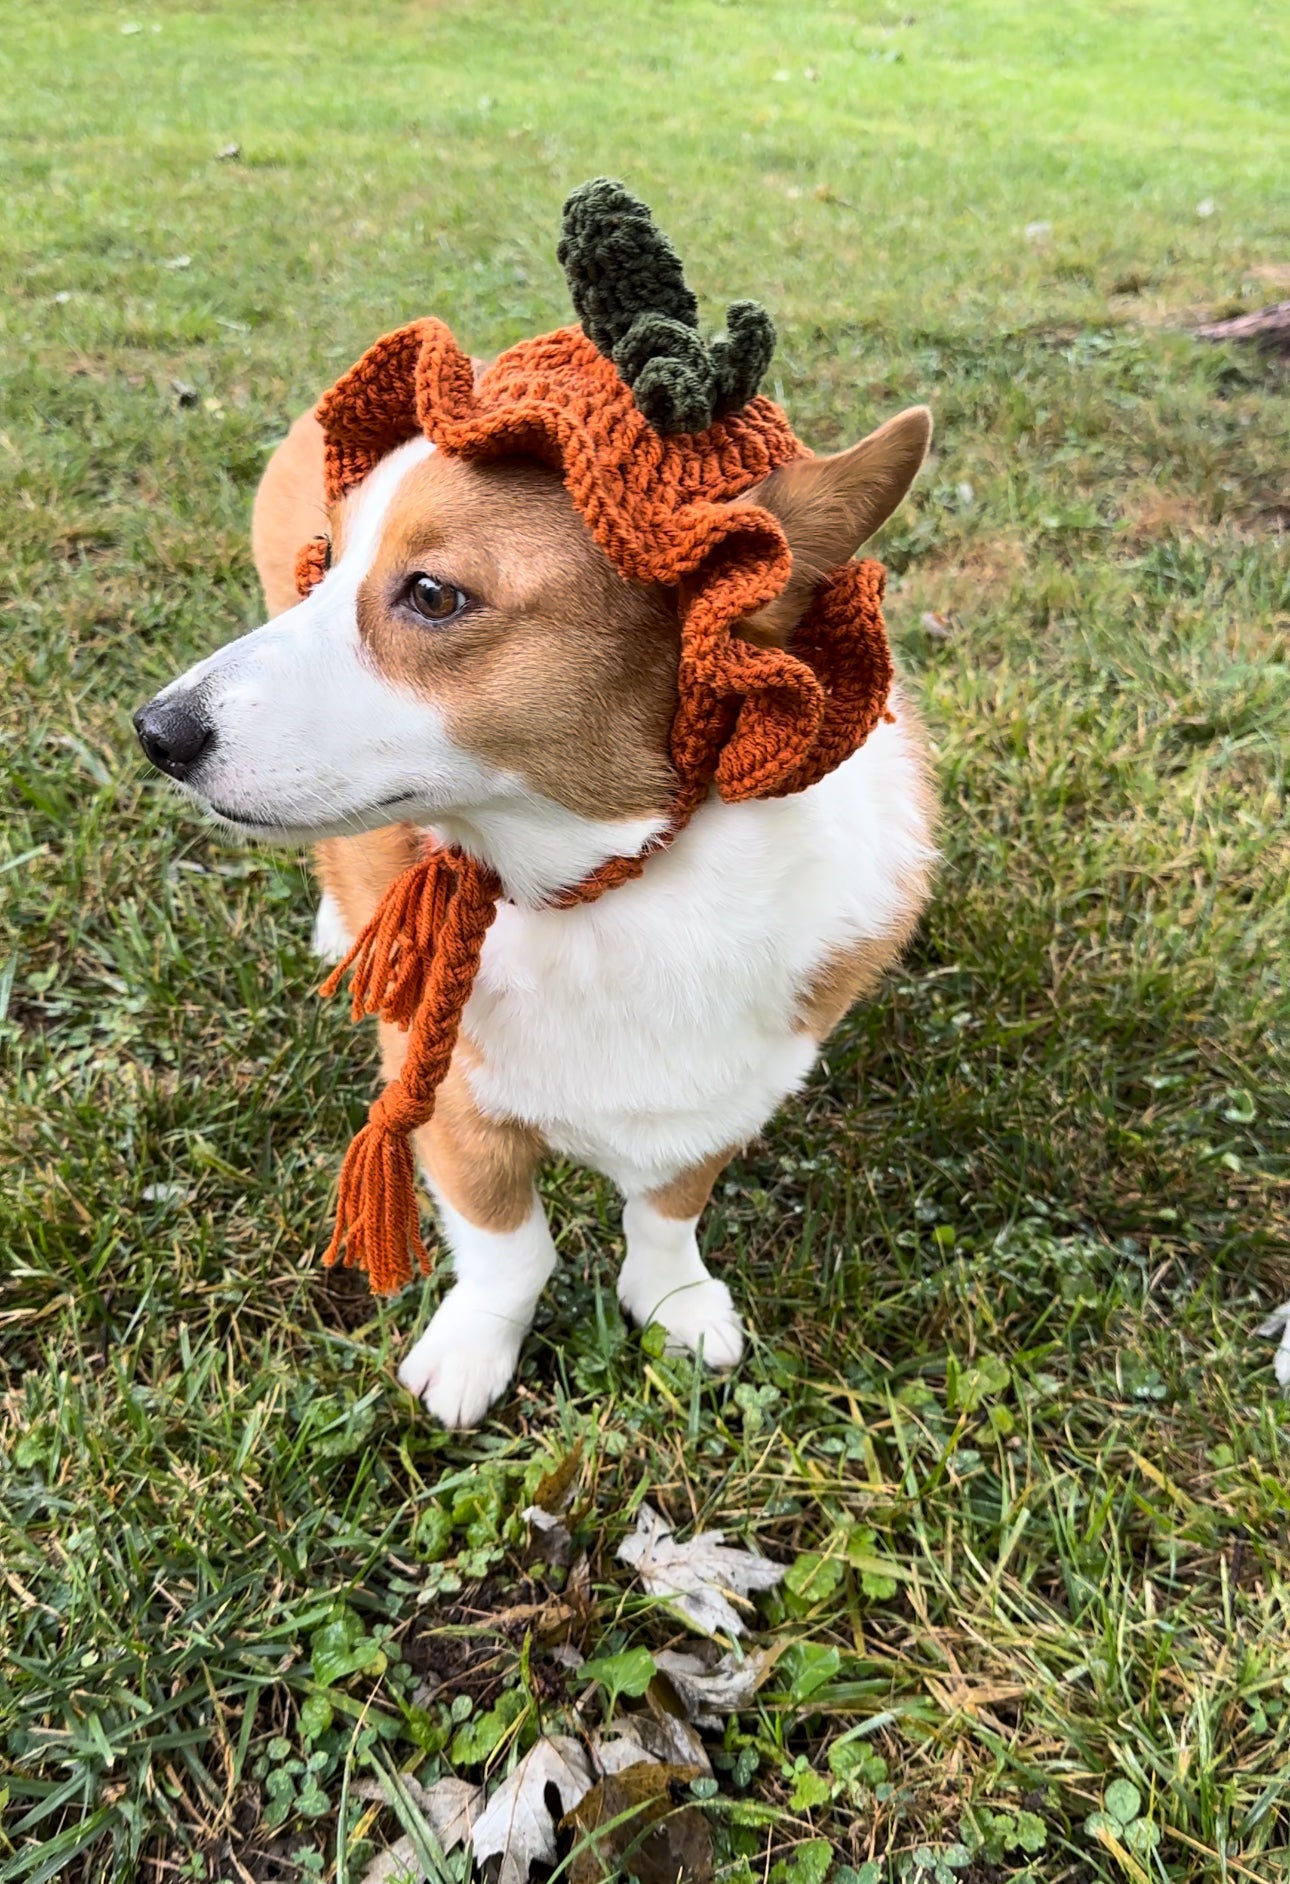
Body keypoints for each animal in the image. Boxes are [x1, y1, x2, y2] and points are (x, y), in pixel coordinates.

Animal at [133, 401, 934, 1424]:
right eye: (333, 562)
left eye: (433, 595)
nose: (156, 732)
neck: (612, 889)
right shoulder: (445, 1101)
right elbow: (512, 1252)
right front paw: (470, 1357)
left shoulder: (724, 1095)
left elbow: (667, 1213)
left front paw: (675, 1303)